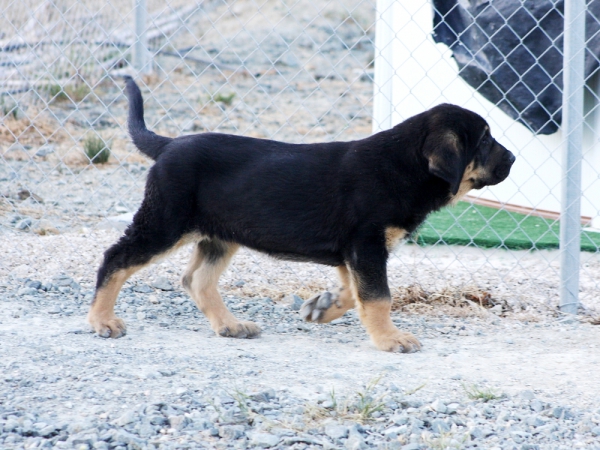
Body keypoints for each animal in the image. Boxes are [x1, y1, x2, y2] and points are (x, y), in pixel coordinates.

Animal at [88, 77, 516, 352]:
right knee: (116, 258)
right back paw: (102, 320)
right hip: (166, 222)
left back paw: (230, 325)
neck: (404, 164)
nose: (513, 158)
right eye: (485, 141)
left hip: (218, 236)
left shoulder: (354, 252)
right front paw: (390, 339)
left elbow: (354, 293)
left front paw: (322, 308)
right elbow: (378, 297)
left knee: (197, 280)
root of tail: (168, 145)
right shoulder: (367, 245)